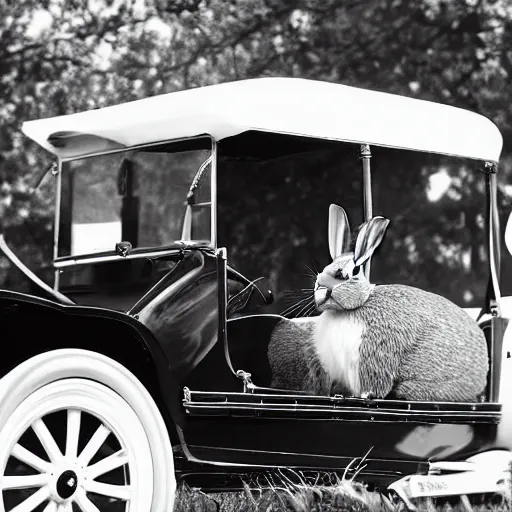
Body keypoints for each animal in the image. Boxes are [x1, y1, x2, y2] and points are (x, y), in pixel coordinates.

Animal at [268, 205, 488, 404]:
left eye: (350, 273)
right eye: (322, 270)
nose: (321, 288)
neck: (355, 307)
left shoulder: (372, 354)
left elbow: (374, 383)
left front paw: (366, 396)